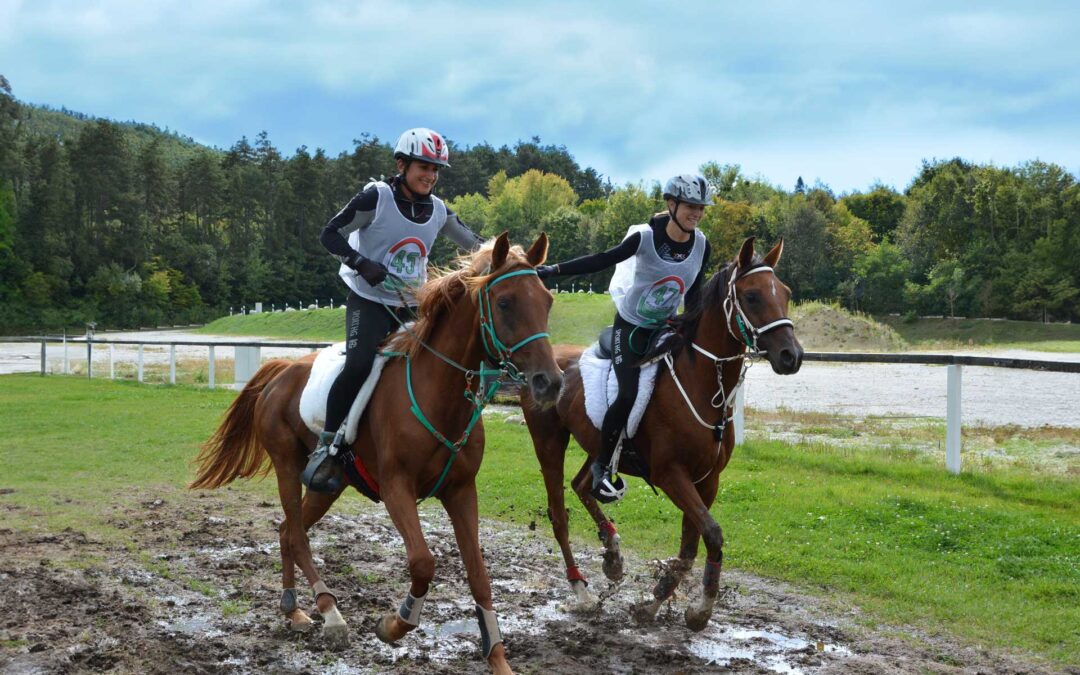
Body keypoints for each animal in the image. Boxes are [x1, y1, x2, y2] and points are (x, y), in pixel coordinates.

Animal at [190, 233, 557, 673]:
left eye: (547, 301)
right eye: (504, 303)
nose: (549, 382)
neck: (438, 394)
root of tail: (280, 370)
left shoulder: (461, 491)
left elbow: (479, 575)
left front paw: (498, 659)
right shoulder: (396, 488)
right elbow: (423, 562)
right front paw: (394, 624)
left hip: (329, 486)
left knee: (286, 531)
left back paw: (293, 608)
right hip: (287, 466)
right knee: (296, 534)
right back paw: (329, 611)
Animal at [522, 236, 803, 630]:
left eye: (786, 293)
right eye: (752, 296)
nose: (791, 356)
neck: (701, 384)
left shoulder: (707, 480)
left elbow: (692, 544)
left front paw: (658, 599)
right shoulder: (671, 474)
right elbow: (712, 534)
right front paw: (699, 608)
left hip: (597, 447)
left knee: (584, 484)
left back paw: (613, 554)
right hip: (548, 442)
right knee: (559, 514)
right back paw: (580, 590)